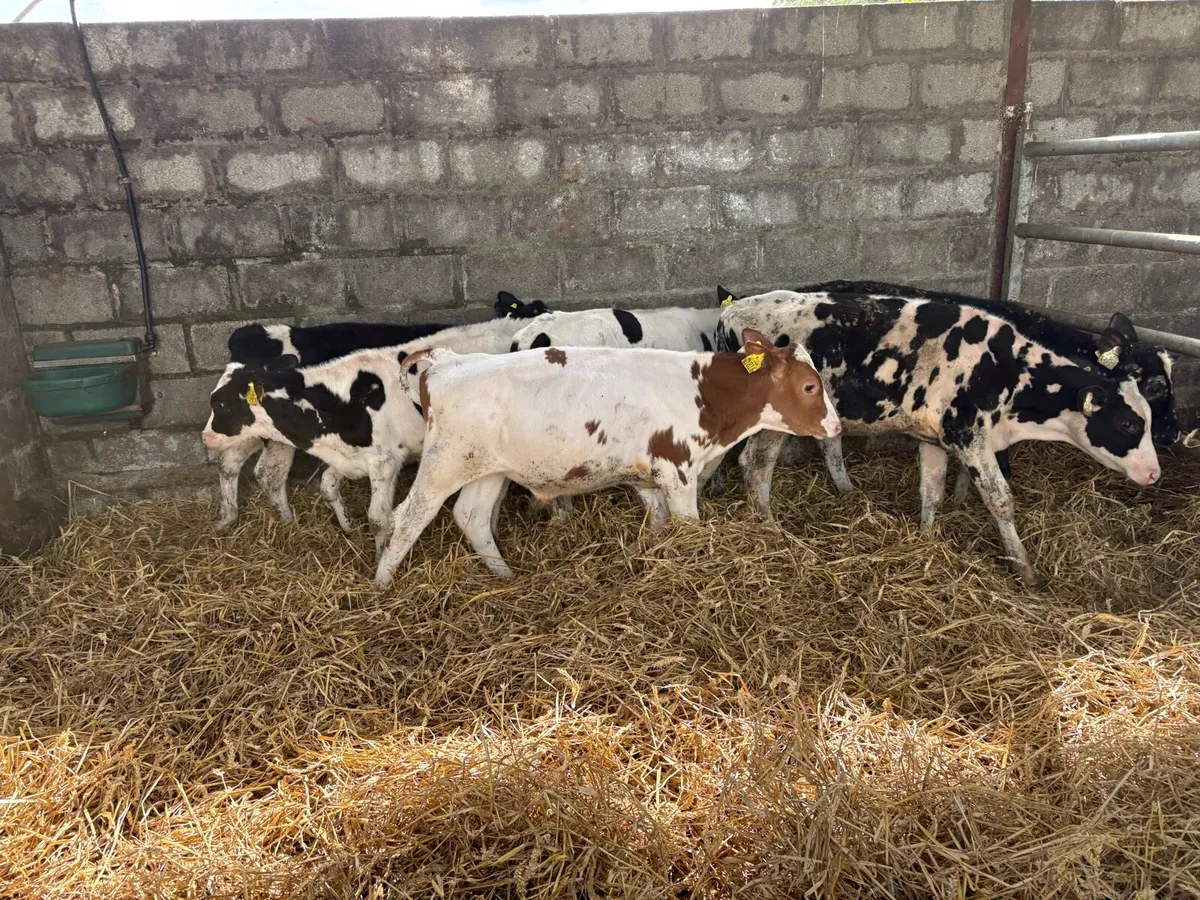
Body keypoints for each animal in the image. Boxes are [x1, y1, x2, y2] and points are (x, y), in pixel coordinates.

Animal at [204, 317, 544, 536]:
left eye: (219, 404)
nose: (205, 436)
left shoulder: (385, 461)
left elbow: (378, 517)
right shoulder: (351, 455)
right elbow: (329, 484)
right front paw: (348, 527)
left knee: (258, 470)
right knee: (252, 469)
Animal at [373, 331, 841, 585]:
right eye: (809, 387)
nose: (837, 426)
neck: (705, 393)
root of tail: (449, 360)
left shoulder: (647, 476)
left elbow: (658, 522)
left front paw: (648, 556)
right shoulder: (677, 469)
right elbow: (687, 526)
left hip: (487, 469)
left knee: (471, 515)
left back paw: (504, 575)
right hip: (444, 463)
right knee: (407, 517)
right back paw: (382, 584)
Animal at [717, 289, 1160, 585]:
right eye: (1128, 425)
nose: (1155, 474)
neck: (1004, 371)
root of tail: (736, 309)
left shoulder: (934, 439)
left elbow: (932, 491)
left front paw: (928, 539)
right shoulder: (968, 437)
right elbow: (1001, 500)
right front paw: (1025, 569)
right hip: (774, 424)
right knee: (756, 466)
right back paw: (769, 527)